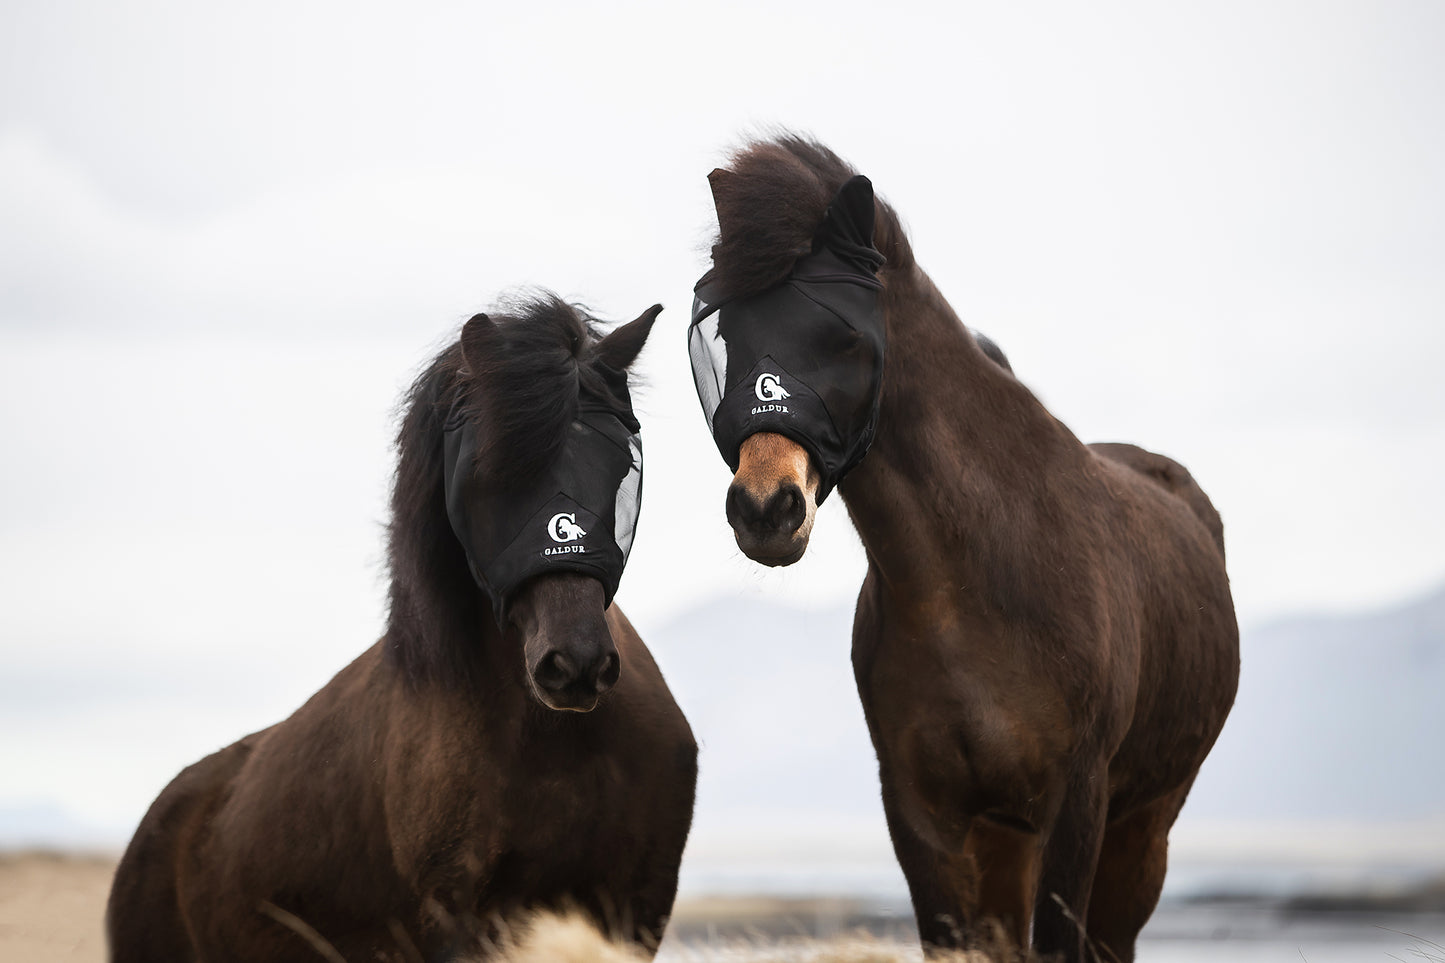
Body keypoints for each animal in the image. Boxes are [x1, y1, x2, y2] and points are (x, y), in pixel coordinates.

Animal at [106, 294, 699, 960]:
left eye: (624, 464)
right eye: (489, 473)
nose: (575, 666)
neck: (556, 747)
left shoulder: (636, 909)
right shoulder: (458, 920)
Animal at [693, 136, 1236, 960]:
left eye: (842, 337)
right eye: (727, 335)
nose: (765, 507)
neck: (968, 581)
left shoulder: (1078, 806)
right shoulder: (926, 818)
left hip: (1143, 829)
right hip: (1007, 840)